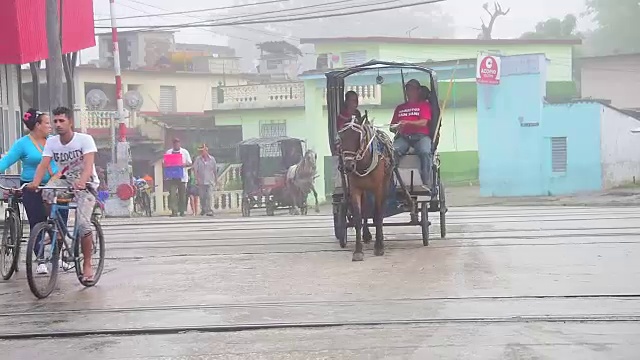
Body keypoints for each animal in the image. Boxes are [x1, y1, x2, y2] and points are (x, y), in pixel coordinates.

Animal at [338, 116, 392, 260]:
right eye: (341, 138)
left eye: (359, 138)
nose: (348, 166)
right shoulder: (355, 189)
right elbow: (358, 218)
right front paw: (358, 251)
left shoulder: (378, 189)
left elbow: (378, 216)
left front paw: (379, 247)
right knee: (365, 208)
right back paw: (366, 235)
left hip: (385, 183)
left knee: (380, 211)